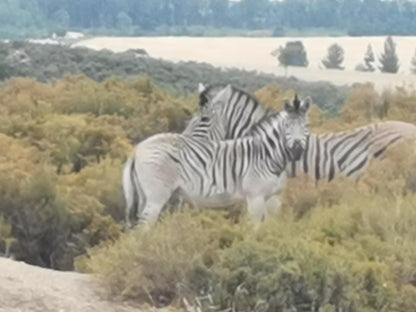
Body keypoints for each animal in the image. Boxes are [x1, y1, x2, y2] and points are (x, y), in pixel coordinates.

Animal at [122, 89, 310, 225]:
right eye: (287, 126)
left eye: (307, 126)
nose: (297, 151)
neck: (266, 154)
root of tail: (137, 148)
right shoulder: (255, 196)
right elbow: (255, 228)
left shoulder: (269, 198)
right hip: (157, 195)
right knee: (145, 225)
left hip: (144, 194)